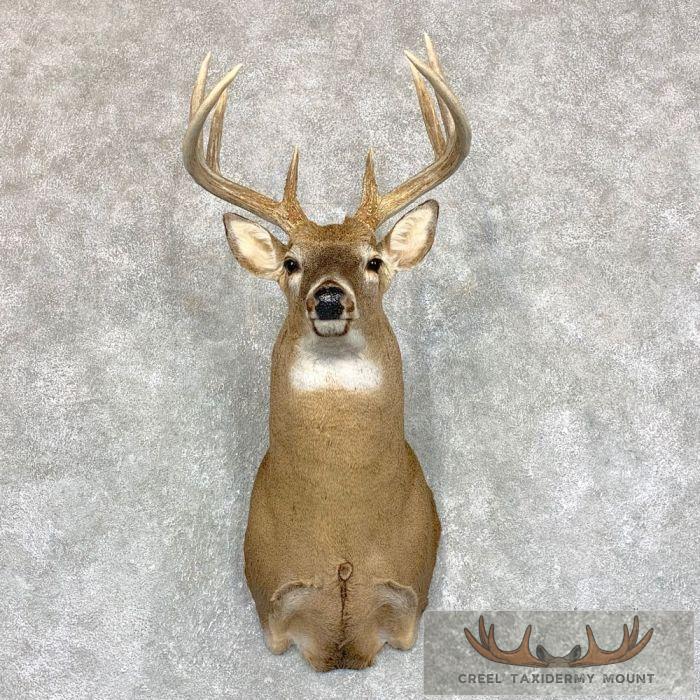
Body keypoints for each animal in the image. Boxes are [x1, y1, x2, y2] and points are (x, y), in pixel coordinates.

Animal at [182, 34, 471, 671]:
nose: (331, 297)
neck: (341, 531)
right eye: (292, 262)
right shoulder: (273, 599)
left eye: (374, 260)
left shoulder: (408, 596)